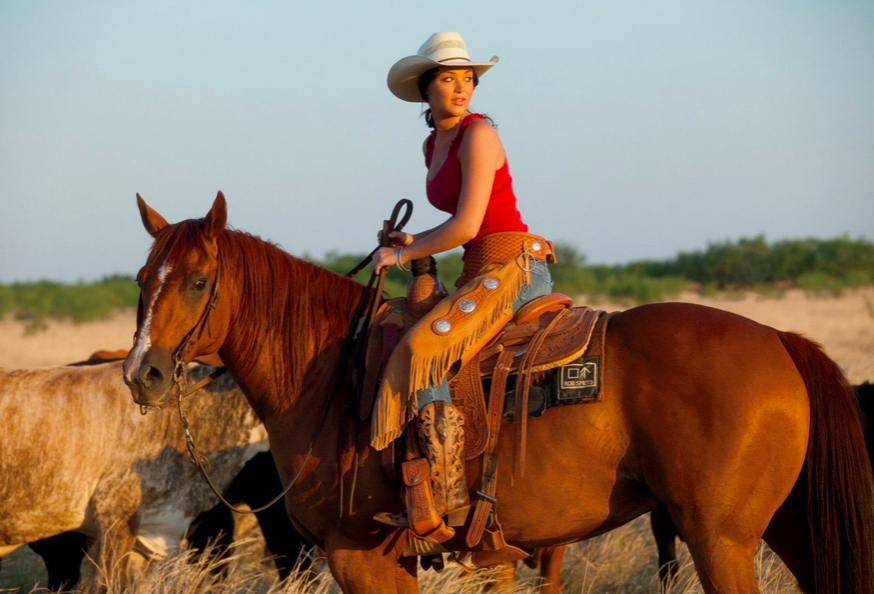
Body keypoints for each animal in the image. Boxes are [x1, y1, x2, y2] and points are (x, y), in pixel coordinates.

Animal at [124, 191, 872, 592]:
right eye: (139, 278)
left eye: (198, 280)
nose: (142, 373)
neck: (329, 374)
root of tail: (779, 339)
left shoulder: (357, 552)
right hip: (783, 525)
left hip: (720, 537)